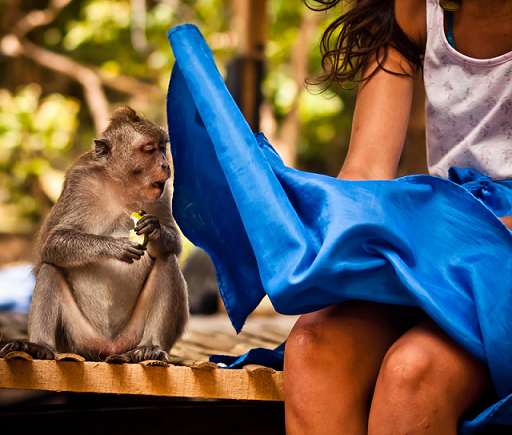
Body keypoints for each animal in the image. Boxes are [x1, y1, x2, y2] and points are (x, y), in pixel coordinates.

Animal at [0, 107, 188, 362]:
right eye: (150, 149)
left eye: (162, 147)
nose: (166, 166)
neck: (121, 186)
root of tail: (109, 348)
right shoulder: (79, 183)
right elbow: (52, 242)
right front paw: (113, 246)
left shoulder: (164, 192)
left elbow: (174, 245)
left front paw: (155, 229)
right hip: (77, 339)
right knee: (51, 268)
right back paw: (40, 346)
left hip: (131, 335)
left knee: (167, 261)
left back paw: (151, 346)